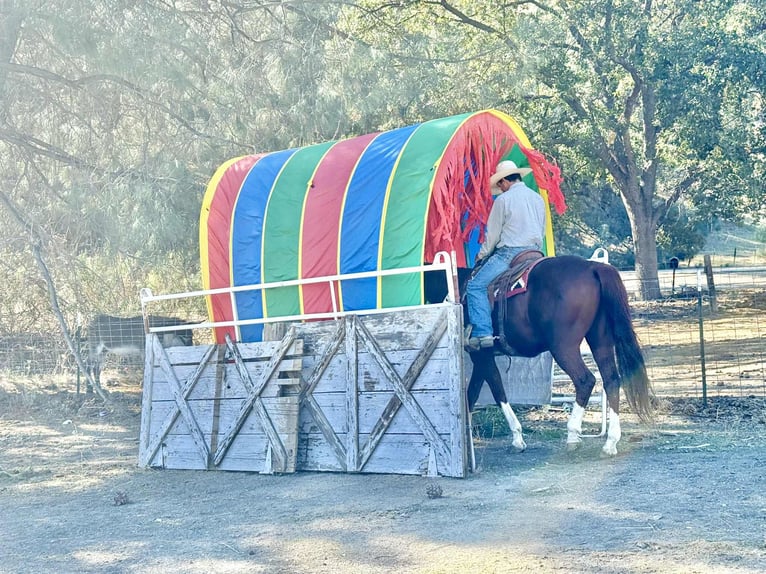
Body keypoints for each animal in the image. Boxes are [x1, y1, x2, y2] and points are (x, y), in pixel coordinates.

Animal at [425, 254, 654, 456]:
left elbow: (498, 391)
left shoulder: (482, 356)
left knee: (585, 380)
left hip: (564, 347)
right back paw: (610, 442)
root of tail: (592, 267)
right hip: (601, 341)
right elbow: (472, 395)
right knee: (611, 380)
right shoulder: (482, 357)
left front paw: (517, 439)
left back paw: (573, 436)